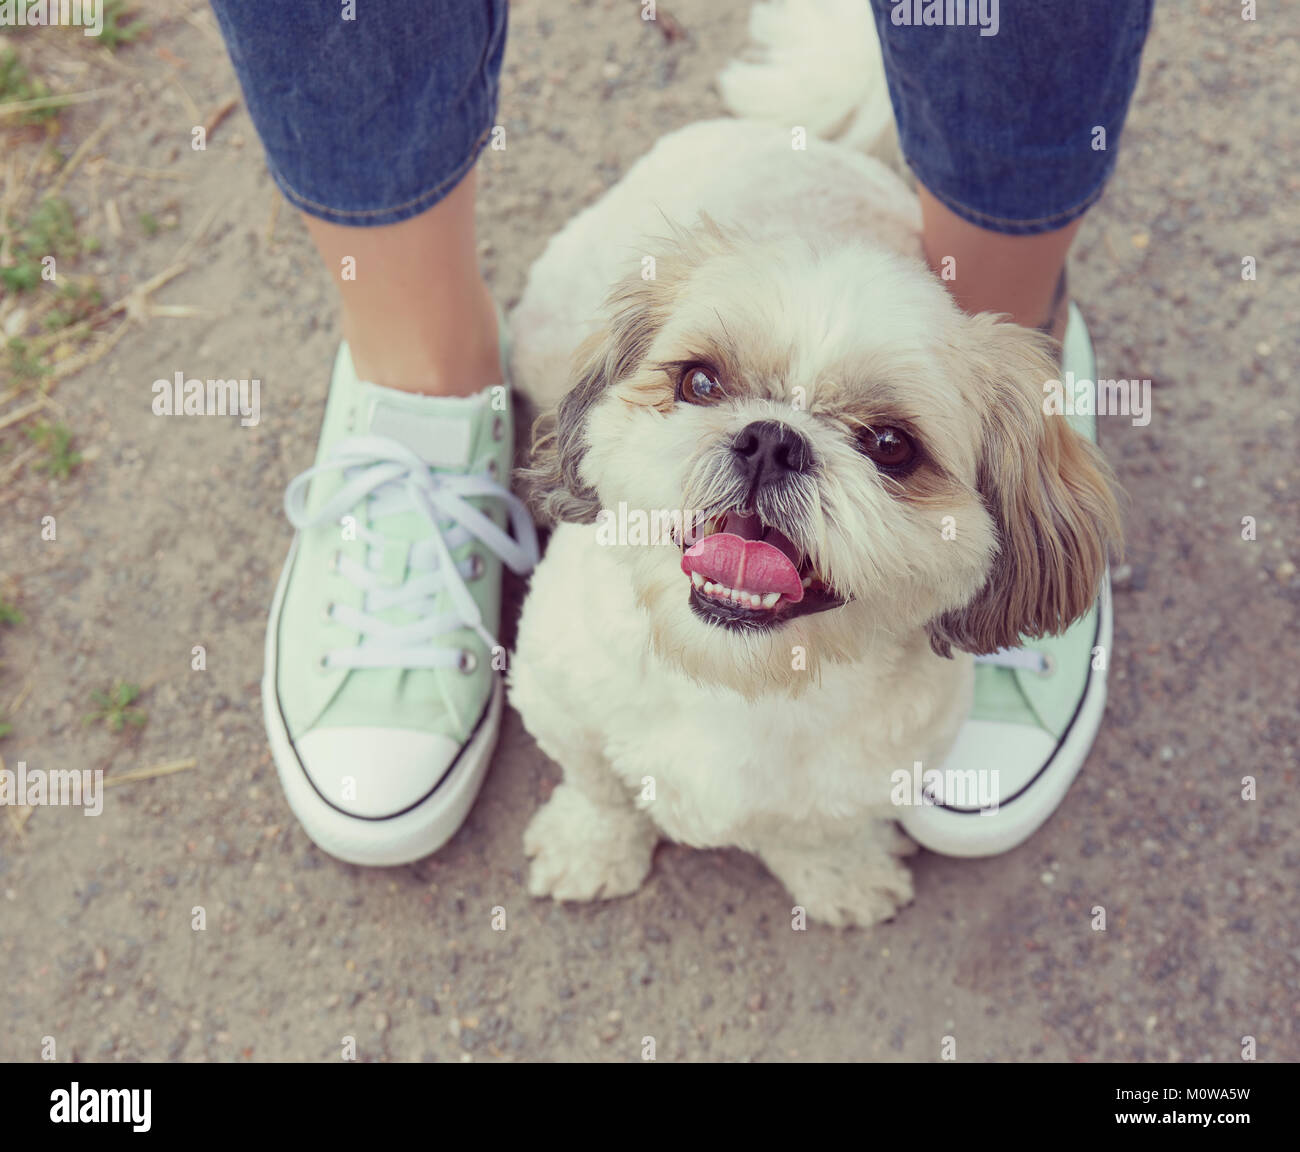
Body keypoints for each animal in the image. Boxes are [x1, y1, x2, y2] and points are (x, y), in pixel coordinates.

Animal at [501, 0, 1123, 930]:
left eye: (892, 446)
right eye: (700, 381)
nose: (772, 439)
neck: (736, 682)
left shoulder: (875, 773)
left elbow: (817, 831)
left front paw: (840, 878)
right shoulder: (557, 699)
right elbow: (598, 783)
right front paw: (592, 847)